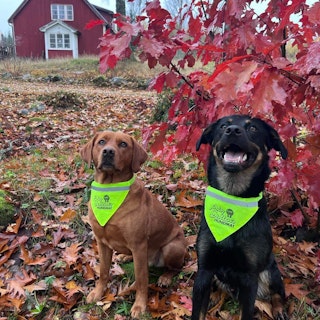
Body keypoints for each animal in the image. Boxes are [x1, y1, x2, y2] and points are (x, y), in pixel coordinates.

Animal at [80, 130, 188, 318]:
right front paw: (98, 292)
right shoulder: (101, 242)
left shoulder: (138, 245)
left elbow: (141, 279)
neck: (111, 190)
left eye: (123, 144)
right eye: (101, 142)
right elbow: (103, 272)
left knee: (176, 267)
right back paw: (124, 256)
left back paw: (165, 277)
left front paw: (140, 306)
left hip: (171, 248)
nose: (108, 152)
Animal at [192, 115, 288, 320]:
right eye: (223, 126)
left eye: (252, 128)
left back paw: (279, 309)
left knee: (277, 292)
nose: (233, 130)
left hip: (270, 271)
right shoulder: (204, 270)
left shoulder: (249, 277)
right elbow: (197, 312)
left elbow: (247, 312)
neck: (233, 197)